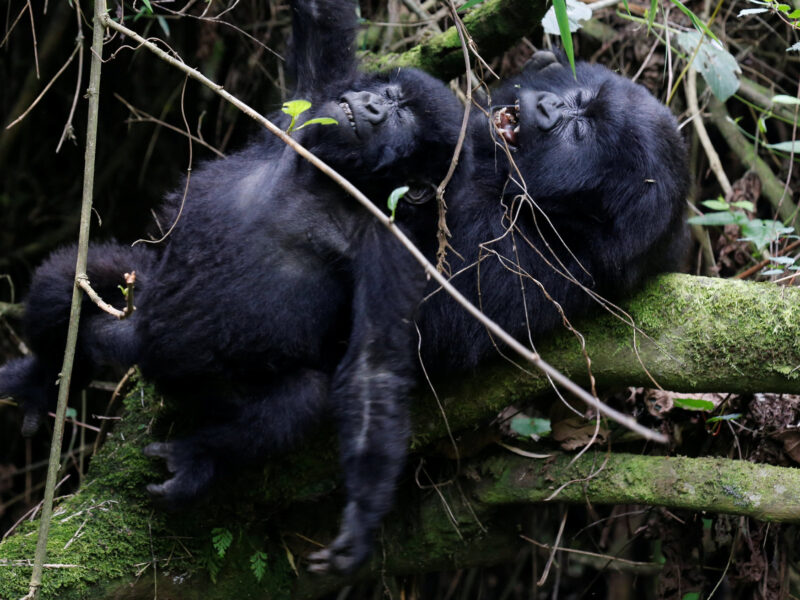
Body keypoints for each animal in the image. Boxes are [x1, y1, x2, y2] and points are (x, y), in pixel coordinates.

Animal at [0, 0, 688, 576]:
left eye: (583, 134)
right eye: (577, 100)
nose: (548, 112)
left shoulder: (538, 264)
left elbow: (389, 349)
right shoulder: (312, 105)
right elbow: (322, 44)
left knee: (295, 399)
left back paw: (198, 457)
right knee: (77, 279)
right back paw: (42, 376)